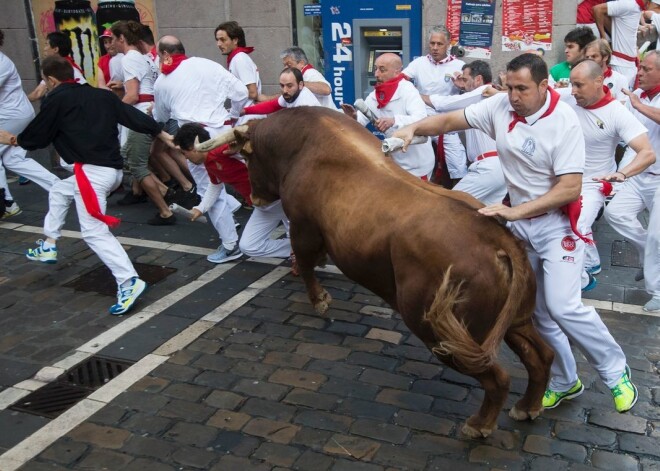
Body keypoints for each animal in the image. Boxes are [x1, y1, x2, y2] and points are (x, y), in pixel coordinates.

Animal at [199, 107, 556, 438]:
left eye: (248, 158)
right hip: (513, 321)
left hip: (443, 331)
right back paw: (528, 407)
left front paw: (319, 299)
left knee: (498, 377)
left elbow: (305, 261)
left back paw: (479, 425)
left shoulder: (302, 227)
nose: (254, 198)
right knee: (541, 356)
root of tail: (498, 239)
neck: (302, 144)